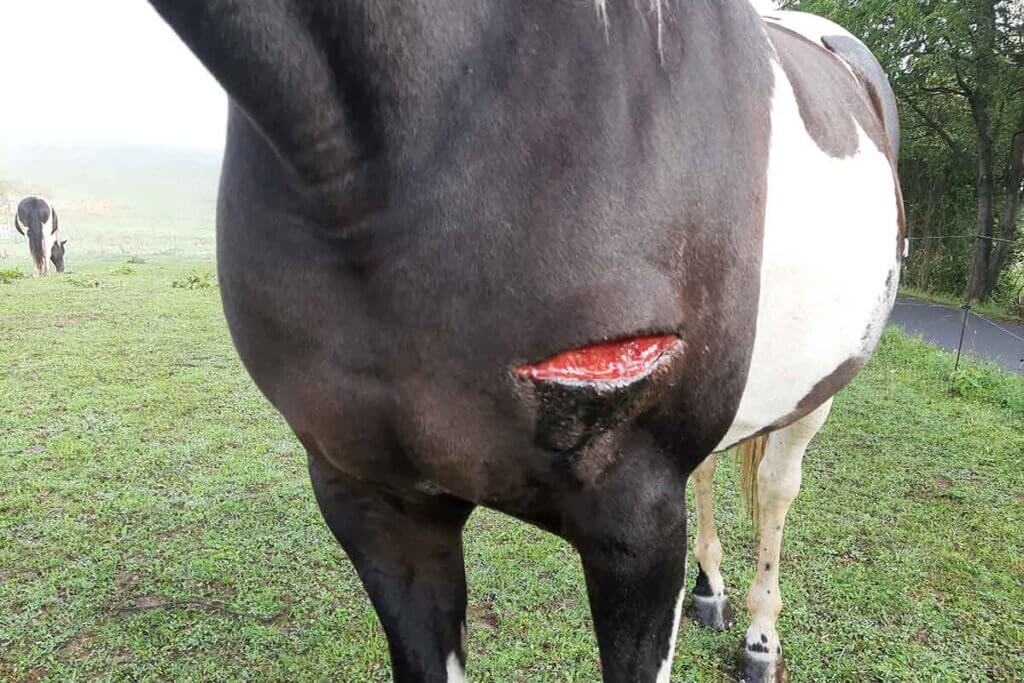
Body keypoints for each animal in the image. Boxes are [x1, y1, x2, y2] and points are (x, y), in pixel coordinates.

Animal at [149, 1, 903, 681]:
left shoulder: (636, 522)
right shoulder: (373, 501)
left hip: (816, 393)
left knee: (776, 487)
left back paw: (759, 640)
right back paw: (710, 592)